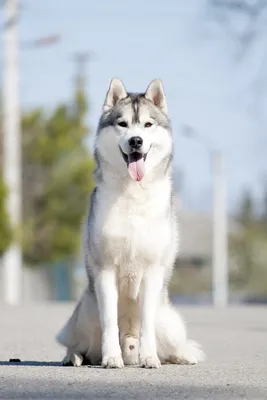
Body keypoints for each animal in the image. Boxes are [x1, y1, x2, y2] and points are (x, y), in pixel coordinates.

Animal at [57, 77, 205, 368]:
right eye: (122, 124)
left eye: (147, 124)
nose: (136, 141)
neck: (133, 194)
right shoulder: (105, 271)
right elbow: (108, 321)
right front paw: (111, 358)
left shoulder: (152, 271)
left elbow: (147, 322)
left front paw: (149, 358)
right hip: (84, 311)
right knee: (77, 342)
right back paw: (76, 356)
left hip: (168, 320)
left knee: (173, 343)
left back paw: (181, 355)